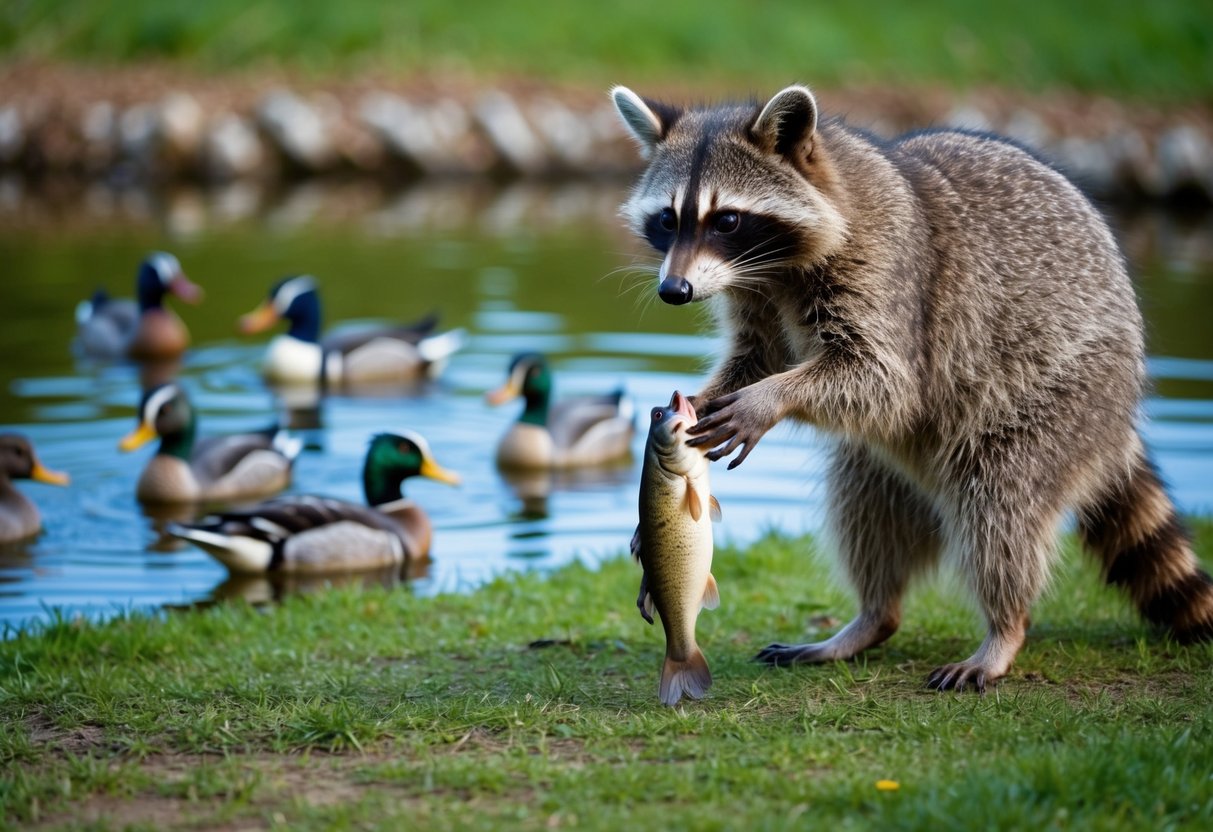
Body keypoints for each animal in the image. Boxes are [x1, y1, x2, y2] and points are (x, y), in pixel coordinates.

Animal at [612, 84, 1213, 691]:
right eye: (668, 219)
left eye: (728, 220)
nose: (674, 290)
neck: (773, 267)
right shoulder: (754, 294)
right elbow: (757, 358)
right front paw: (703, 400)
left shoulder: (887, 272)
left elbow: (885, 380)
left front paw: (771, 398)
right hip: (894, 461)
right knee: (866, 505)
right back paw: (872, 616)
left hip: (1065, 392)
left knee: (1002, 505)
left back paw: (1005, 626)